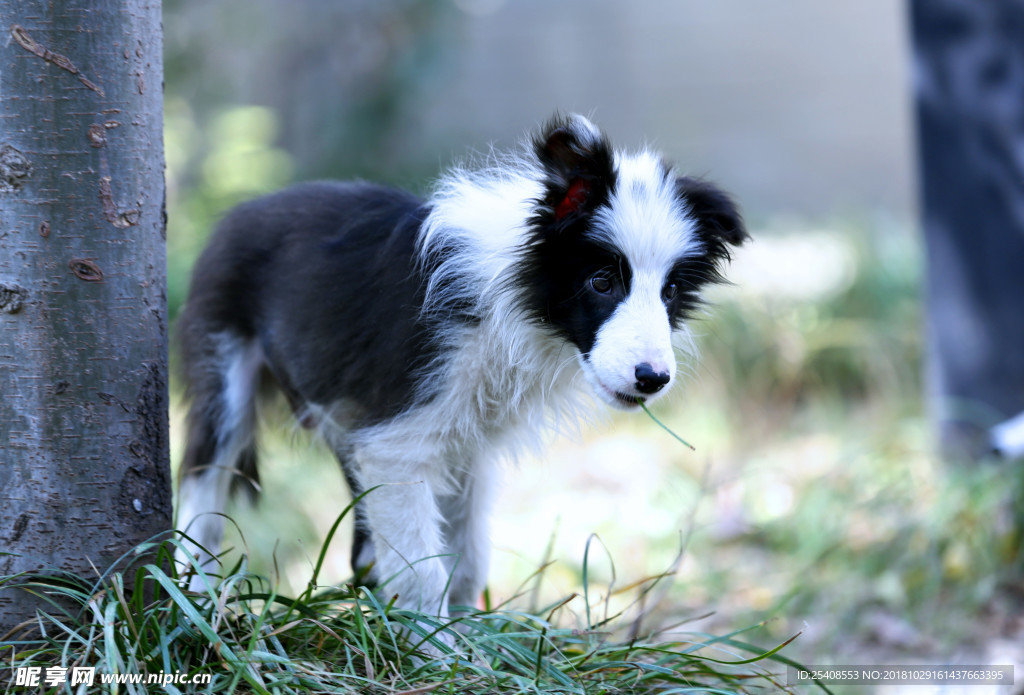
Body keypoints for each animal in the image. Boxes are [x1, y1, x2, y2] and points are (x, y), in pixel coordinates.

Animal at [176, 114, 749, 618]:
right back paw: (195, 601)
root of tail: (238, 213)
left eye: (670, 291)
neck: (511, 305)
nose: (652, 379)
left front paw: (472, 637)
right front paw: (434, 648)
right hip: (222, 359)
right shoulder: (397, 440)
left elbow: (468, 560)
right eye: (602, 282)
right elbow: (423, 568)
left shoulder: (466, 442)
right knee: (204, 482)